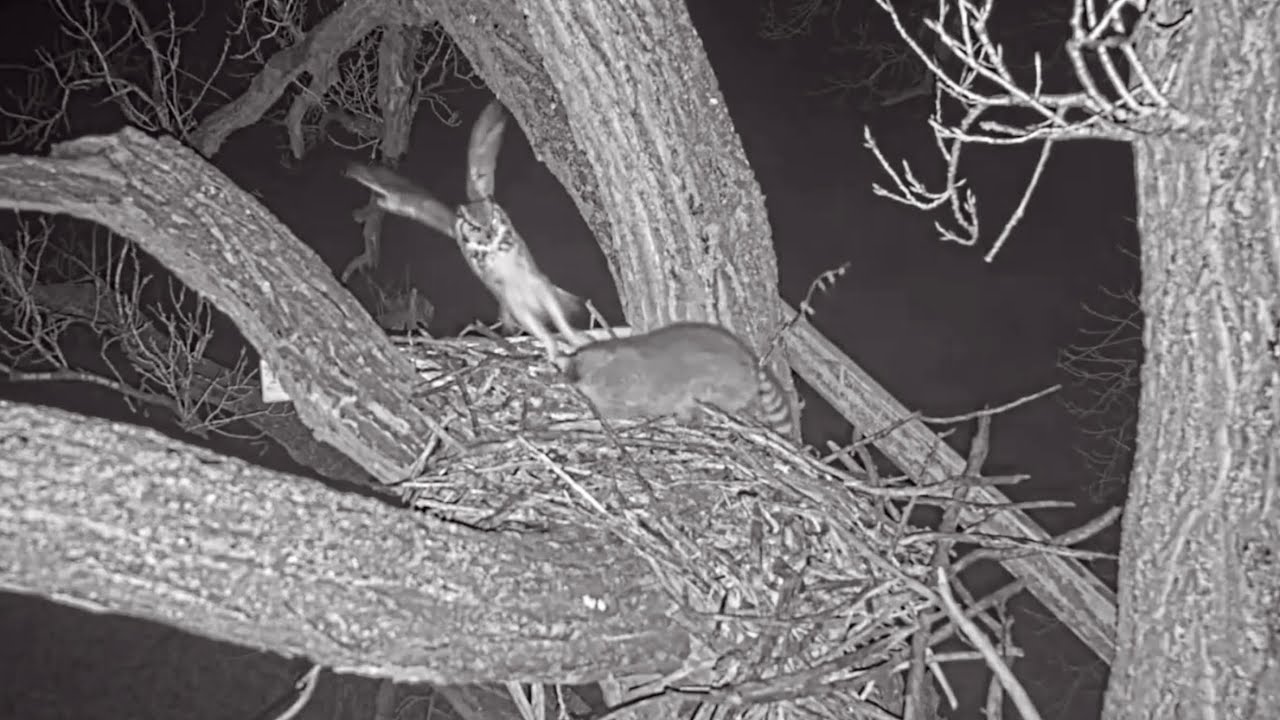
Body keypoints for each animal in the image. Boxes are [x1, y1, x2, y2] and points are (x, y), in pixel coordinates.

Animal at [560, 322, 794, 438]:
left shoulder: (630, 388)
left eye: (576, 369)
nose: (568, 378)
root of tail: (750, 360)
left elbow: (621, 408)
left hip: (722, 380)